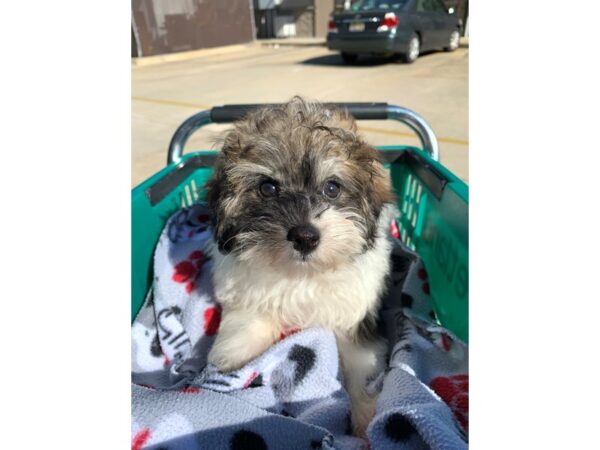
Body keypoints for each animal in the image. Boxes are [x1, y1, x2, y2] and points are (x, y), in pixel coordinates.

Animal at [204, 96, 396, 436]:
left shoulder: (356, 316)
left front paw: (365, 420)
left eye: (332, 188)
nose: (305, 237)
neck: (302, 274)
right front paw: (233, 359)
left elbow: (361, 365)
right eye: (268, 188)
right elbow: (248, 319)